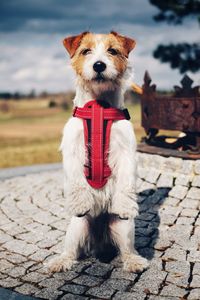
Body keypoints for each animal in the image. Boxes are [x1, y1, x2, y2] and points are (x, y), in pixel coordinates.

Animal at [48, 31, 148, 274]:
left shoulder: (126, 152)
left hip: (123, 228)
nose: (99, 65)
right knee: (71, 251)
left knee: (126, 250)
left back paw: (134, 261)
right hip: (76, 227)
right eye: (86, 51)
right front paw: (81, 203)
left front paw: (125, 205)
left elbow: (126, 183)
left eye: (112, 50)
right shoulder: (73, 151)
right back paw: (60, 262)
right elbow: (77, 180)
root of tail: (100, 243)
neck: (99, 107)